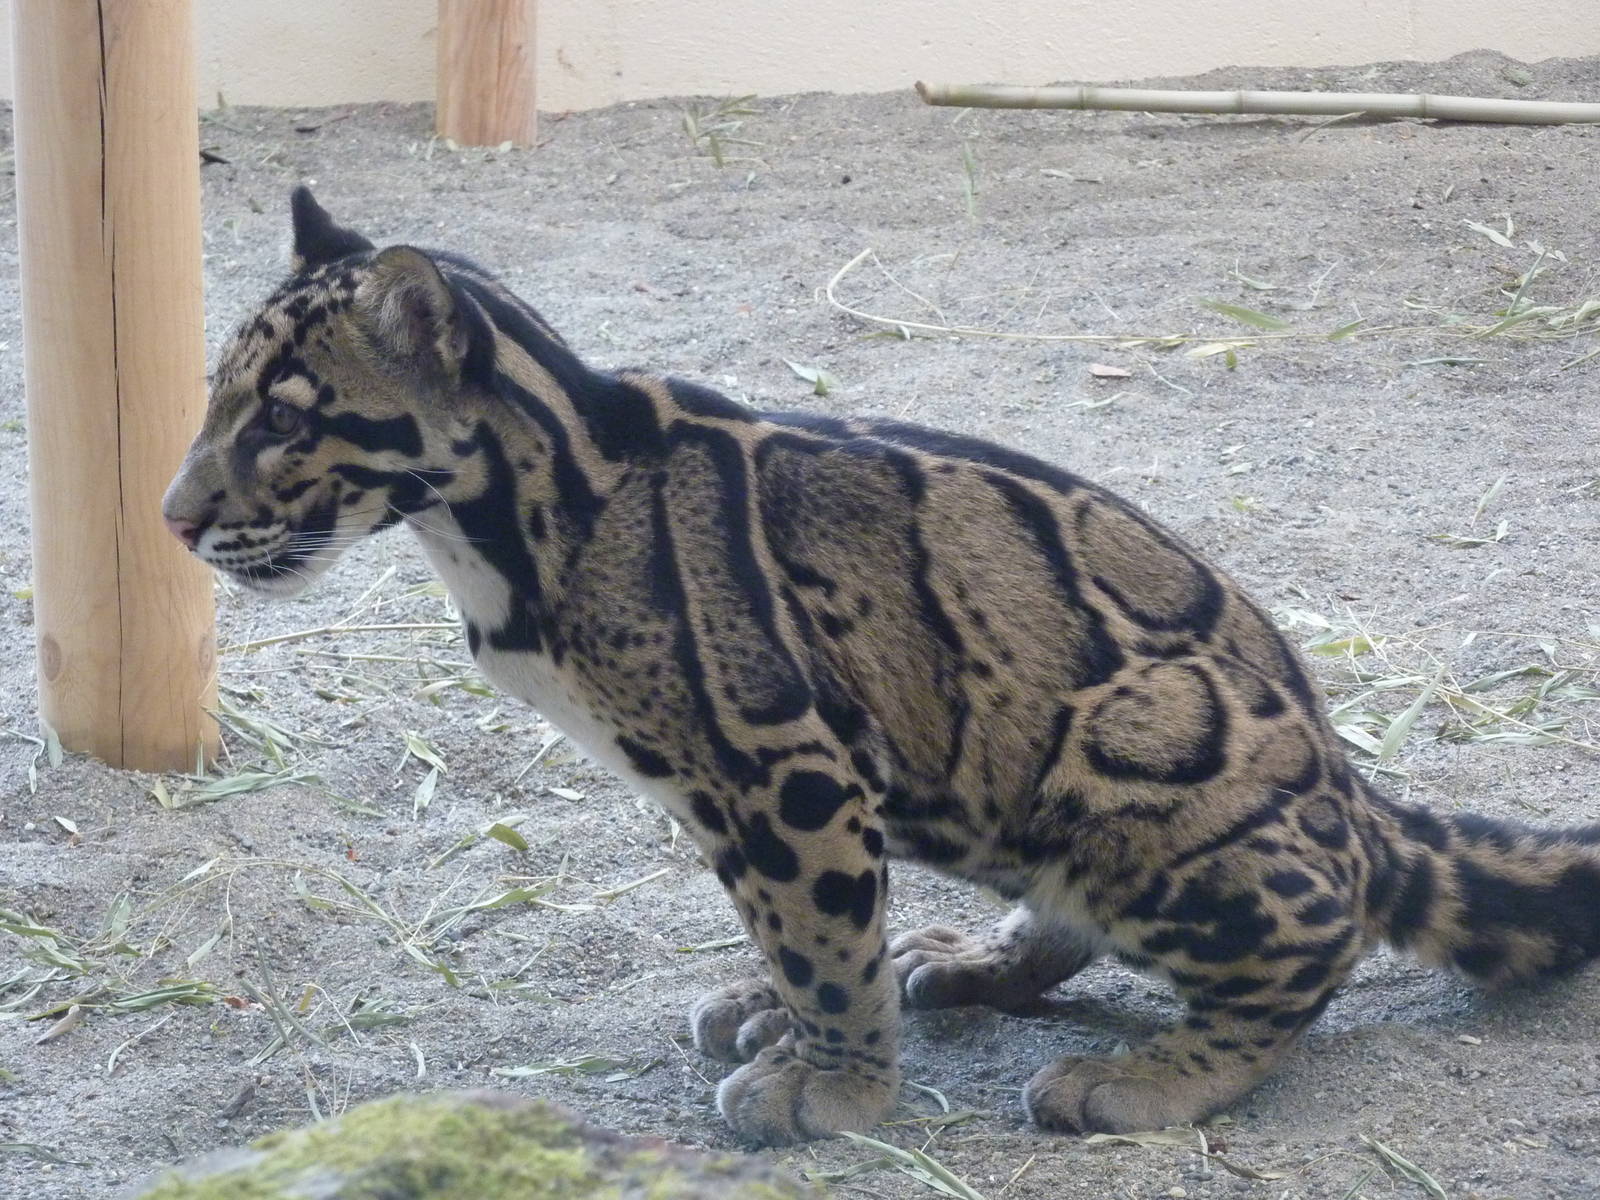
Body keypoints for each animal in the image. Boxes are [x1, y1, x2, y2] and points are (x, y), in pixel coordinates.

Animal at [163, 187, 1600, 1147]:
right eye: (215, 402)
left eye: (281, 422)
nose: (174, 518)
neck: (508, 520)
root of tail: (1356, 789)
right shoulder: (758, 793)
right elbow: (790, 928)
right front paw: (789, 1020)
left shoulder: (779, 763)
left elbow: (819, 933)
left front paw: (837, 1082)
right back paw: (968, 960)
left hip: (1139, 770)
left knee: (1315, 943)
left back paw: (1155, 1074)